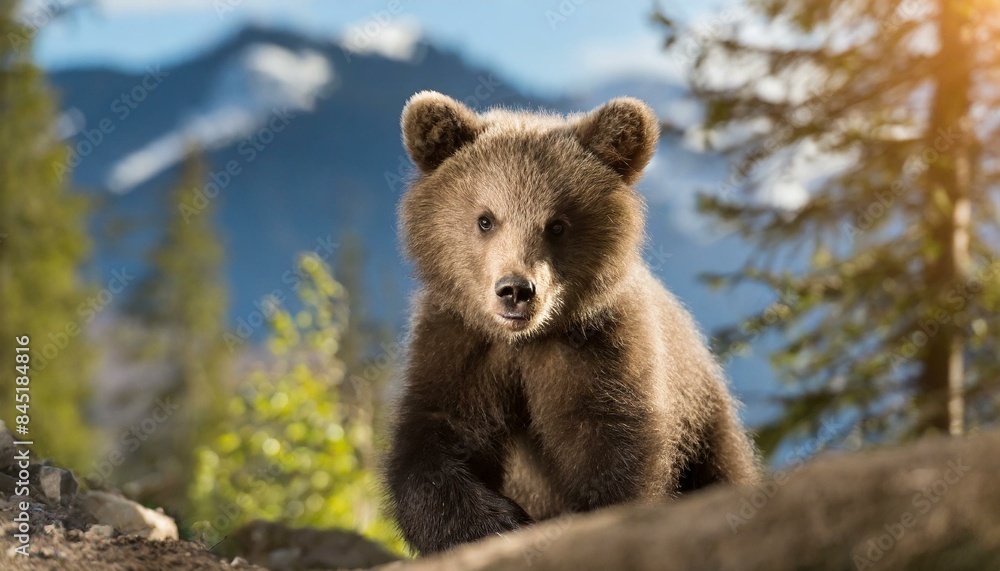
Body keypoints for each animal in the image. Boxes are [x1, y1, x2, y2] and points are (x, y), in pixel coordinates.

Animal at [385, 91, 759, 555]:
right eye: (485, 219)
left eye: (557, 224)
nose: (515, 290)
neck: (526, 341)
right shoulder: (459, 346)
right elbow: (433, 446)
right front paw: (501, 522)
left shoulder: (600, 352)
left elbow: (613, 454)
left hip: (708, 423)